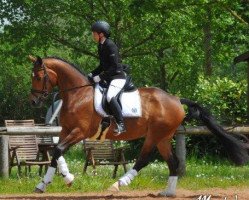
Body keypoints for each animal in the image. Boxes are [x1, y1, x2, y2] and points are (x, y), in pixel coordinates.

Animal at [28, 55, 249, 196]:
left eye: (38, 77)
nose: (33, 101)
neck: (78, 94)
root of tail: (176, 99)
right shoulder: (66, 130)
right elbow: (56, 152)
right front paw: (52, 182)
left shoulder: (79, 132)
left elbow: (58, 151)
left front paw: (60, 180)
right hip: (163, 137)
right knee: (173, 162)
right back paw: (167, 192)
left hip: (154, 135)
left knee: (143, 160)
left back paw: (118, 184)